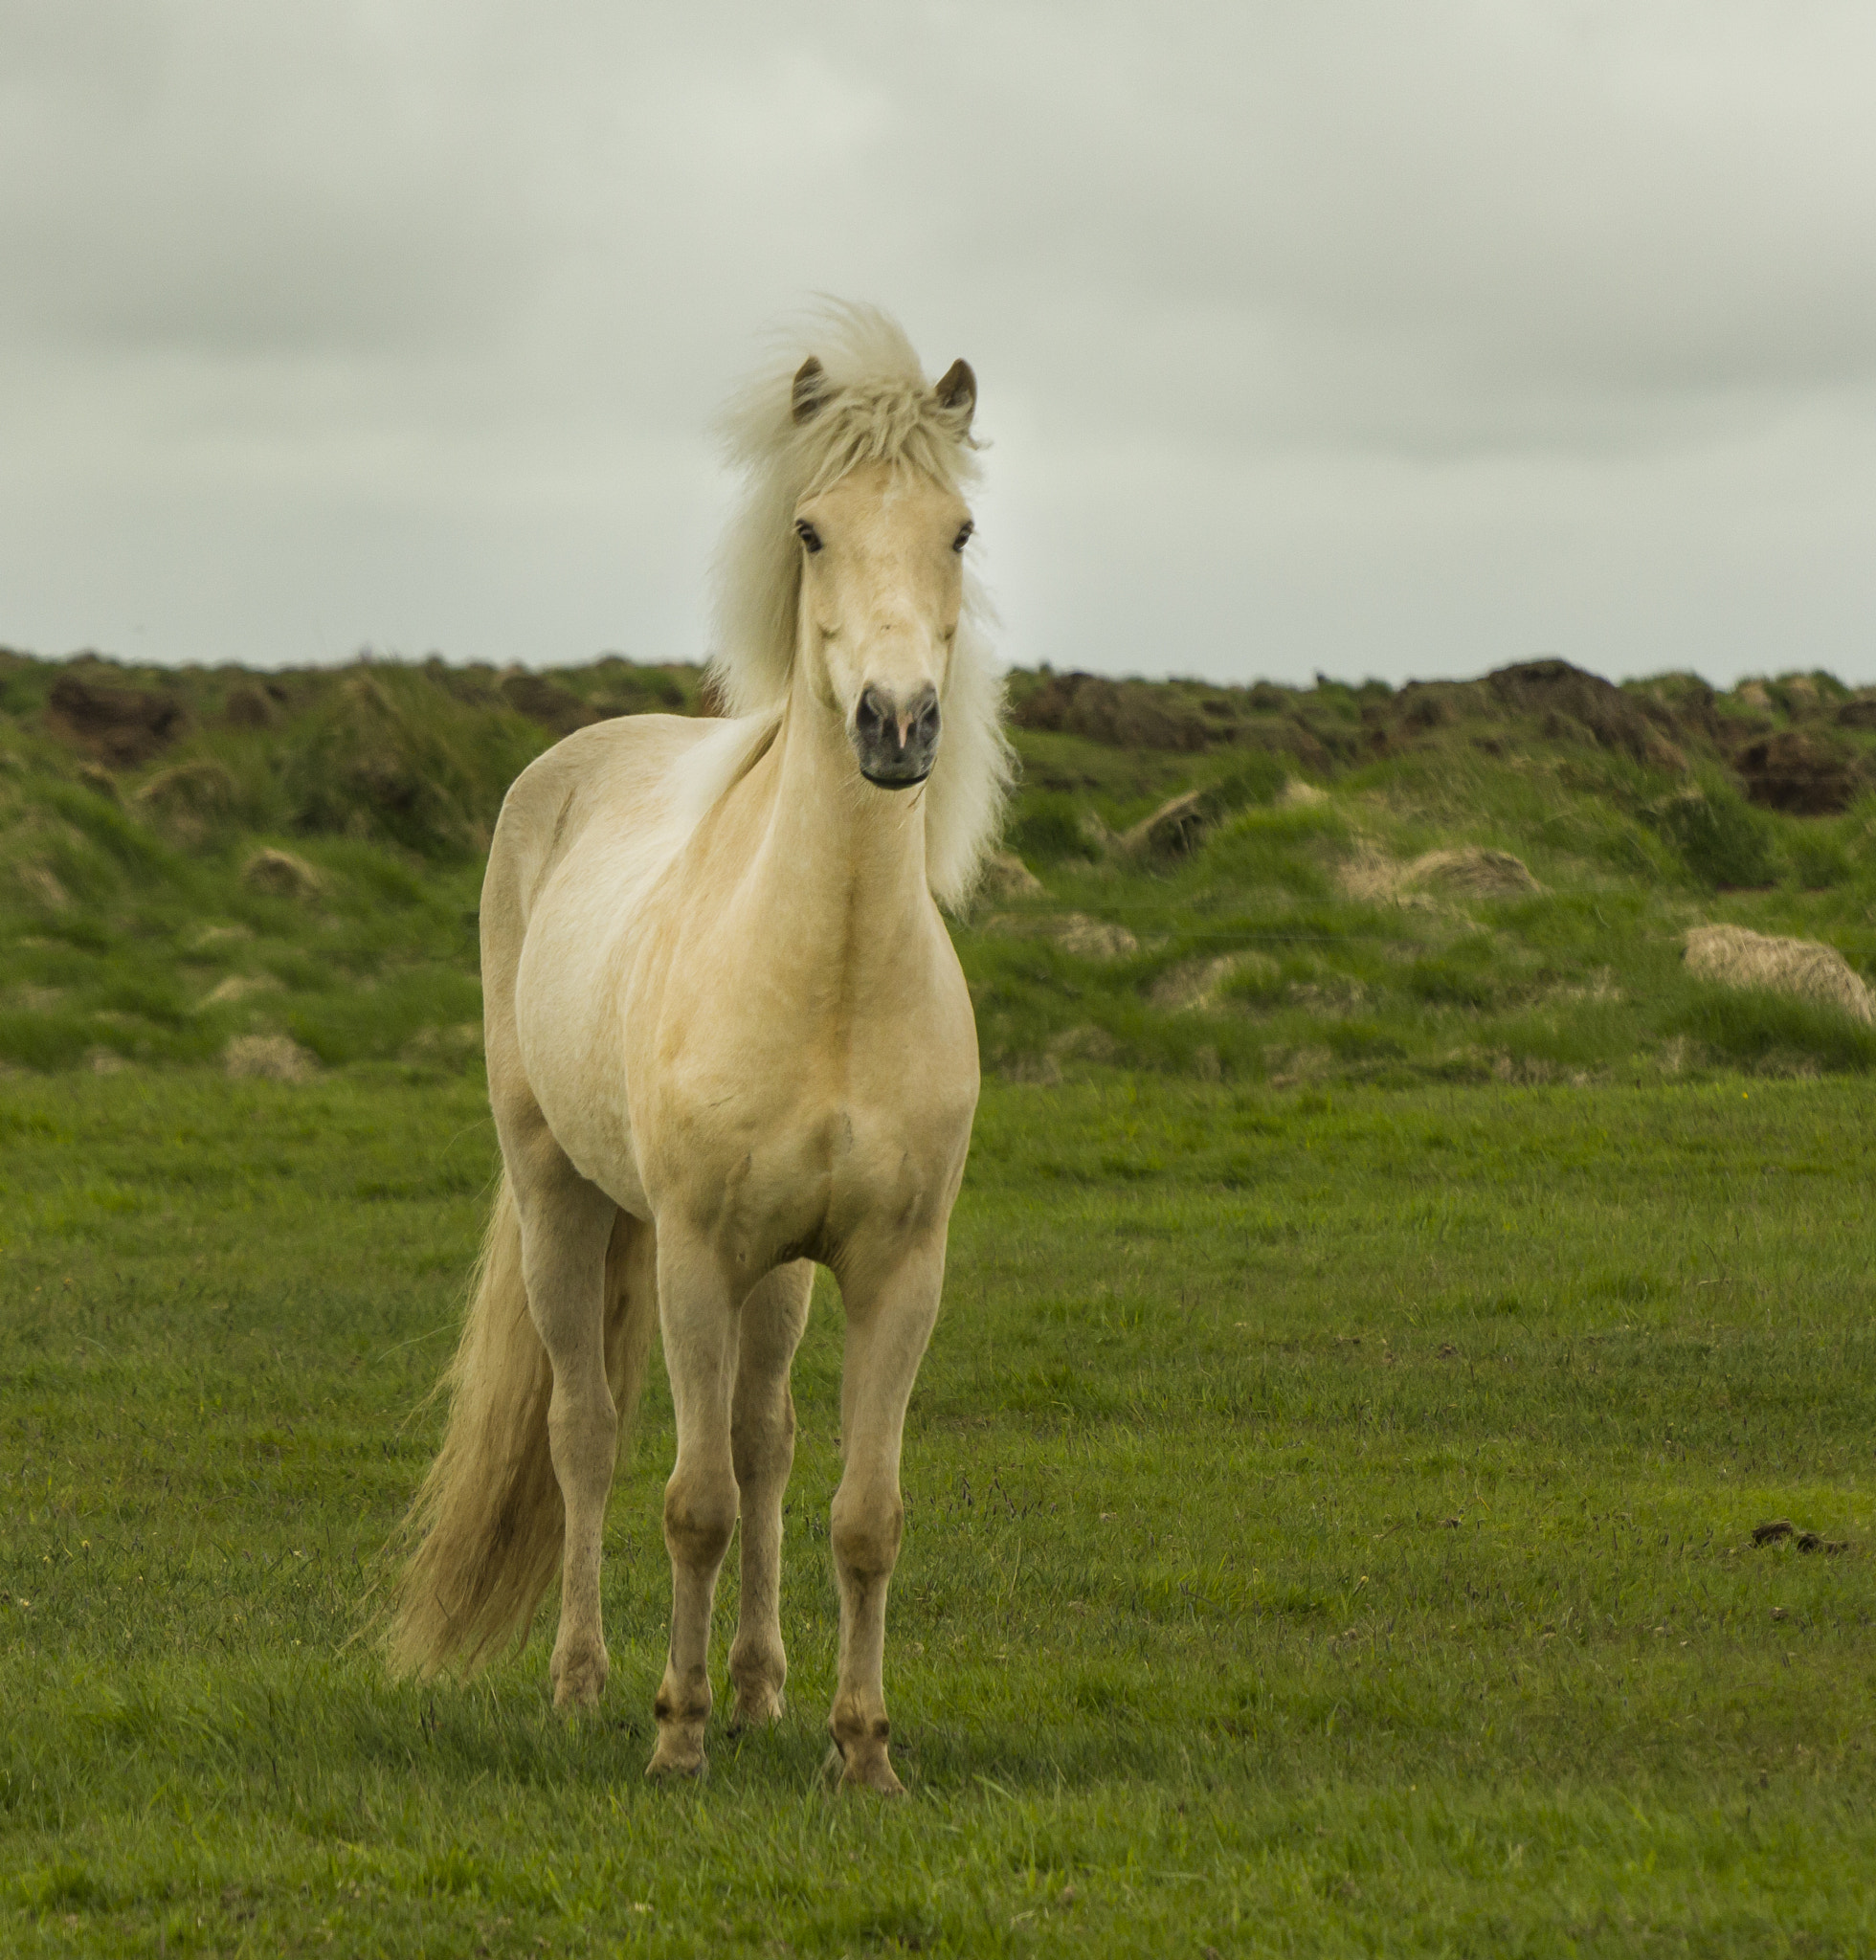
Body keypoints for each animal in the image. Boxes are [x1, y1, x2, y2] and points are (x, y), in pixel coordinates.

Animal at [386, 305, 1018, 1794]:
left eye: (959, 529)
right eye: (810, 530)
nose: (898, 723)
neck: (829, 976)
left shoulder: (896, 1269)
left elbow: (860, 1511)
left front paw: (861, 1749)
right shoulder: (690, 1256)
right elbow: (688, 1502)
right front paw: (673, 1740)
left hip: (779, 1280)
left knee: (766, 1441)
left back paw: (761, 1690)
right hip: (562, 1199)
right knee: (585, 1434)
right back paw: (585, 1683)